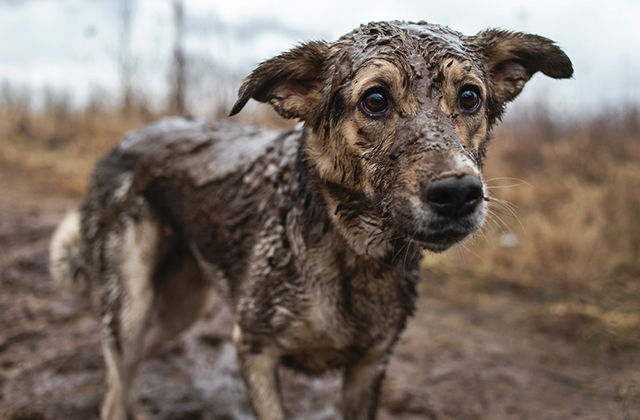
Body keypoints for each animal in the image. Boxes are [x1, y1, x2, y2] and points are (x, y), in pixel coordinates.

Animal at [48, 21, 568, 420]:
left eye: (470, 97)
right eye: (375, 99)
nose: (459, 193)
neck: (352, 248)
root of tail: (124, 141)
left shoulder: (368, 368)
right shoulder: (253, 348)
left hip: (180, 305)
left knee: (130, 372)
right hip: (130, 305)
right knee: (115, 383)